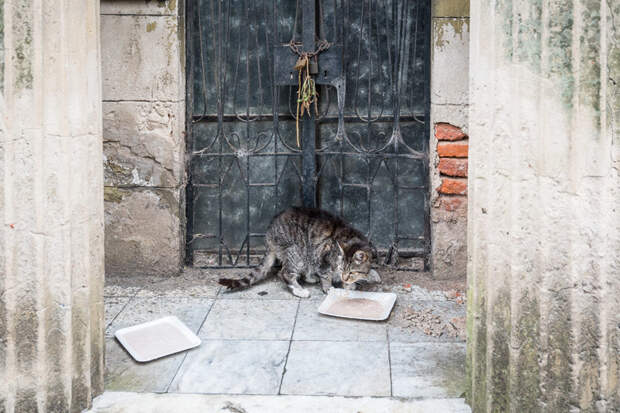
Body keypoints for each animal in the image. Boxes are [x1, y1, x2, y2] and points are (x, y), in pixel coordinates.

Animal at [218, 206, 382, 296]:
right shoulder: (324, 256)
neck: (353, 238)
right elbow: (326, 275)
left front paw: (351, 283)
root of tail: (269, 234)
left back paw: (311, 277)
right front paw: (330, 288)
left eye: (351, 272)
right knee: (284, 273)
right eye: (342, 269)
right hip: (296, 251)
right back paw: (300, 290)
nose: (344, 277)